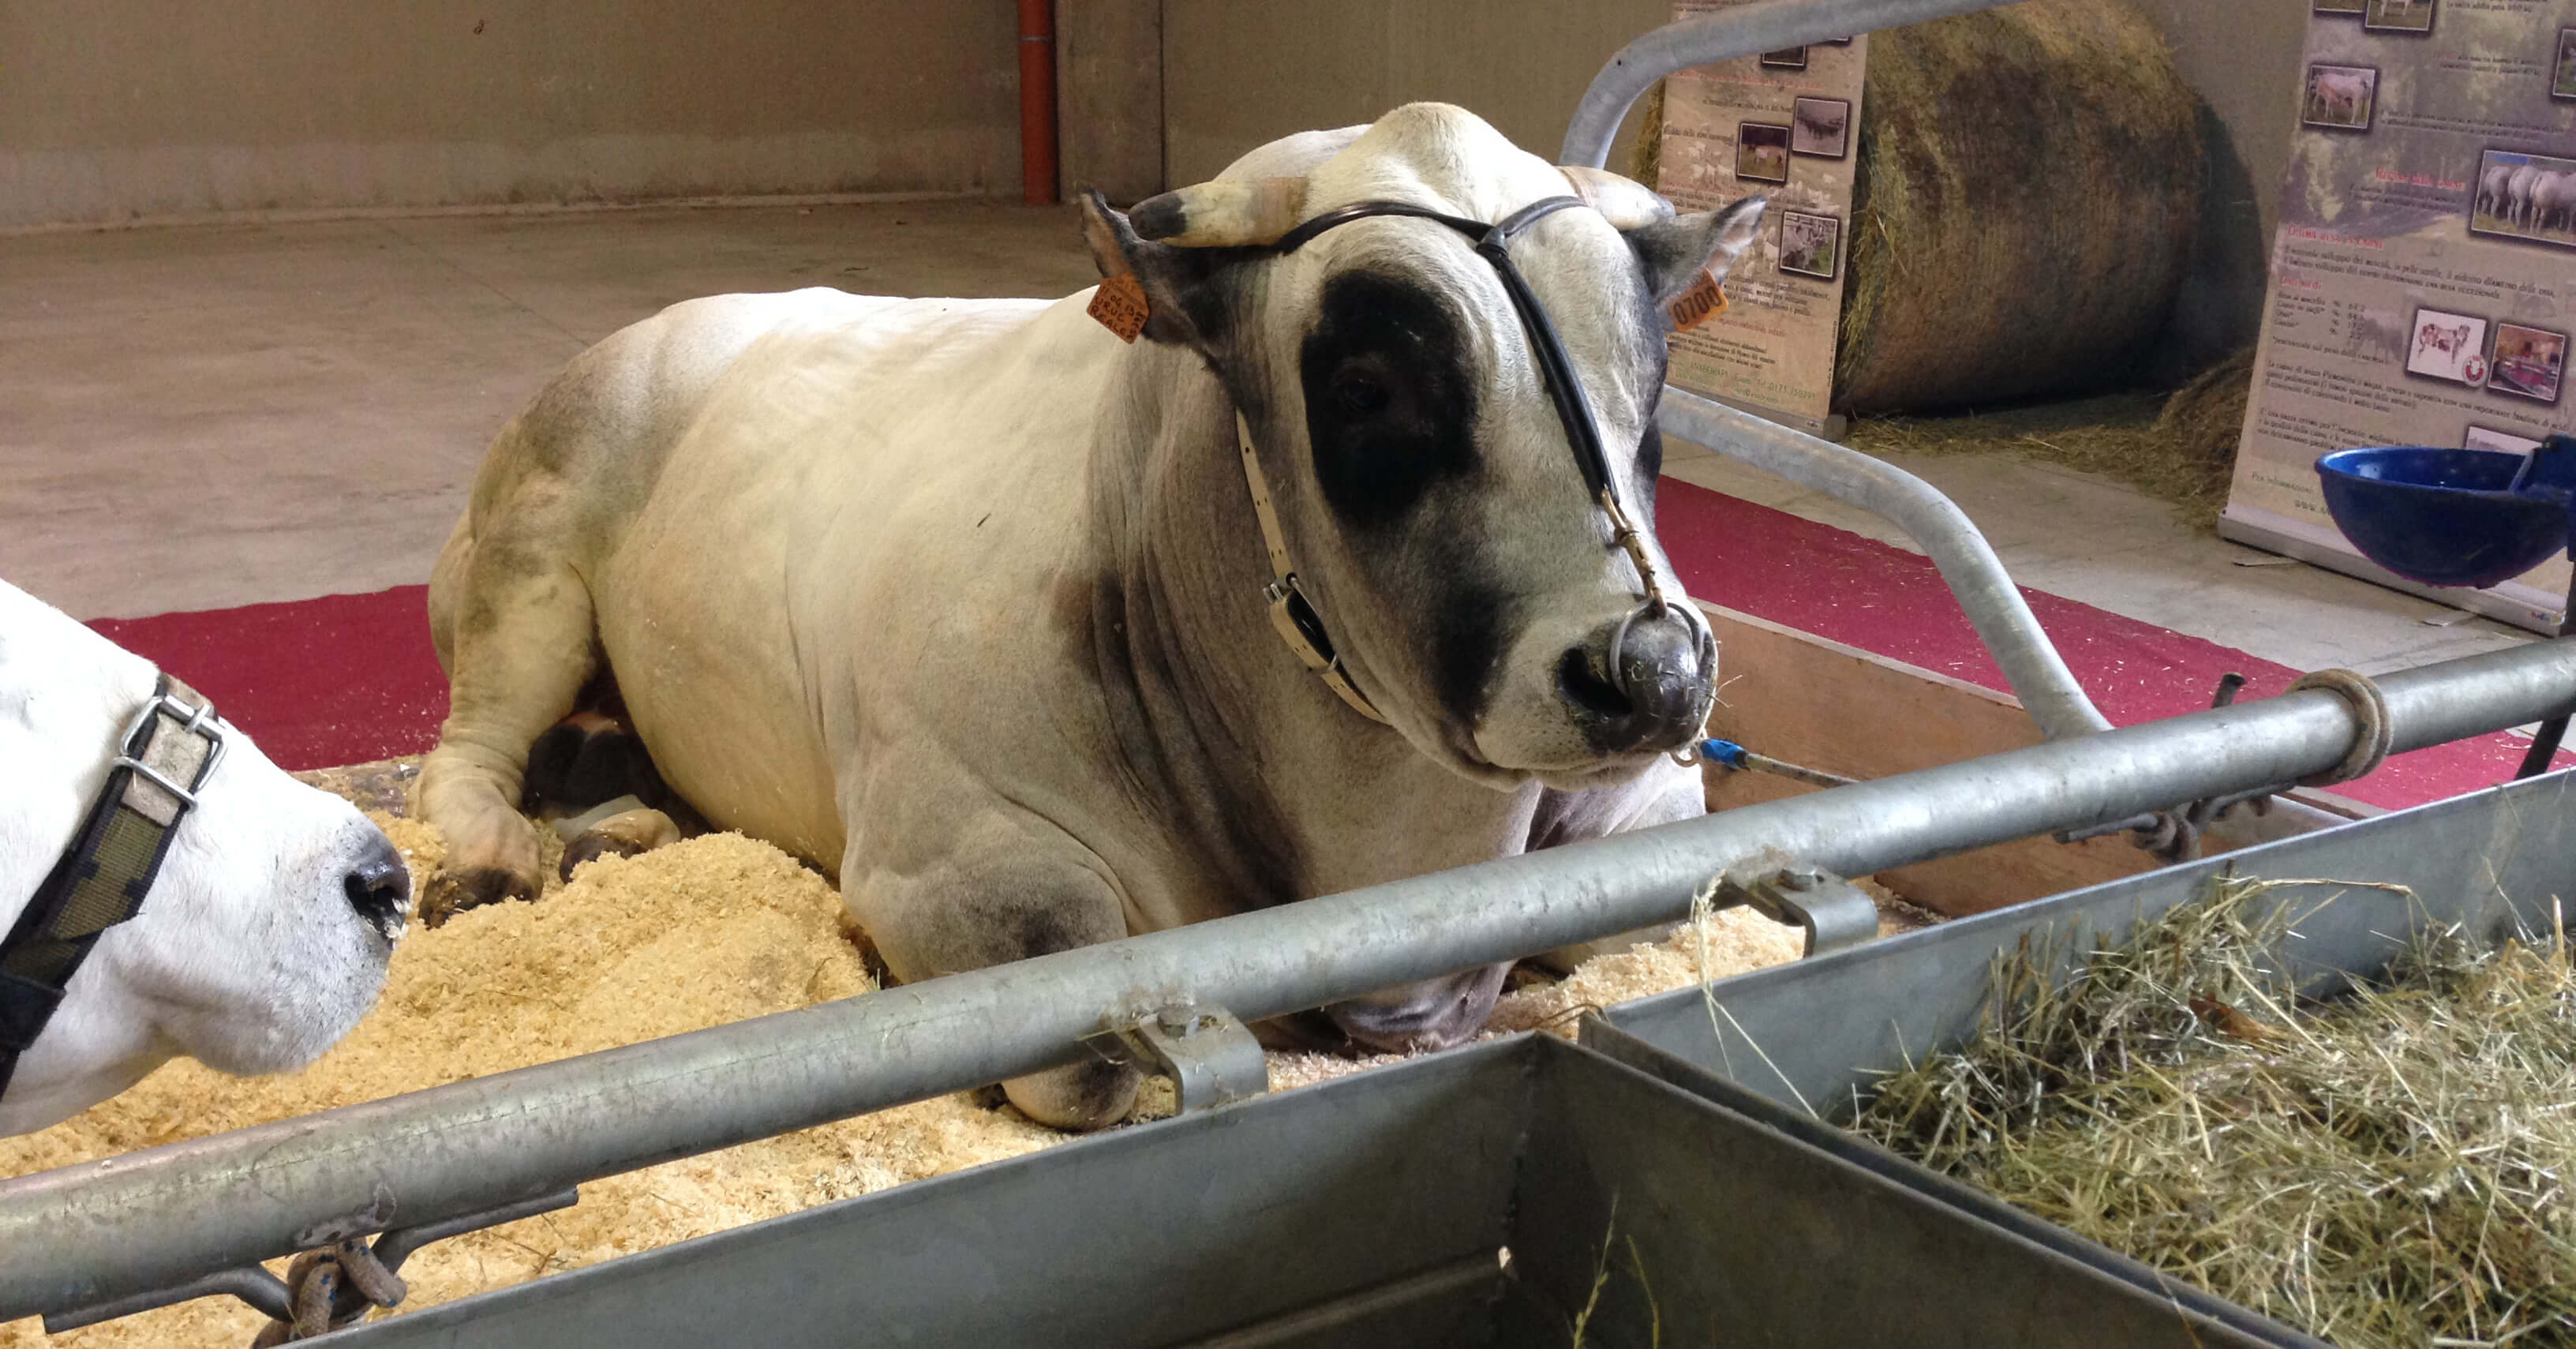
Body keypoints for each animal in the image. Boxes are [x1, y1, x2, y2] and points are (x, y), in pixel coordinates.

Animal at [415, 103, 1766, 1131]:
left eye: (1651, 375)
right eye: (1367, 384)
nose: (1652, 669)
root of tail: (662, 324)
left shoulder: (1651, 815)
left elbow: (1639, 919)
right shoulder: (944, 851)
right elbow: (1092, 1045)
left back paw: (616, 815)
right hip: (526, 569)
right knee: (460, 757)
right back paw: (496, 852)